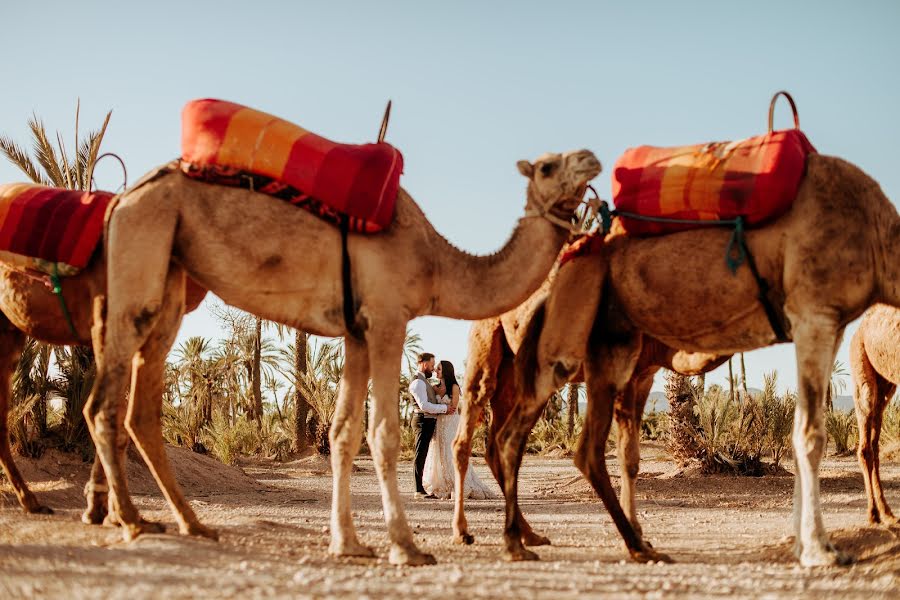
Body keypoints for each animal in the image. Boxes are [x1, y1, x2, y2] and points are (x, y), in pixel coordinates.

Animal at [86, 148, 604, 564]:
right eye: (548, 165)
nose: (591, 157)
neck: (436, 262)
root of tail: (123, 199)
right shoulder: (388, 318)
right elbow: (384, 434)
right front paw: (406, 547)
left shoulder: (357, 333)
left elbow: (343, 431)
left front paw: (348, 543)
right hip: (144, 246)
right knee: (104, 402)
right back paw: (132, 521)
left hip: (172, 275)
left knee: (140, 404)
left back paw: (189, 523)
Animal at [454, 278, 728, 564]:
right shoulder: (626, 373)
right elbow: (625, 455)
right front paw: (635, 538)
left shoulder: (644, 376)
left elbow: (631, 459)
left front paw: (640, 535)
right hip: (486, 350)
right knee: (467, 433)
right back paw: (463, 532)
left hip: (512, 373)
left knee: (497, 445)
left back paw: (529, 536)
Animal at [502, 151, 900, 568]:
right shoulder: (815, 313)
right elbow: (810, 433)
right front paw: (821, 549)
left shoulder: (829, 323)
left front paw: (803, 544)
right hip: (578, 351)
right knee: (553, 443)